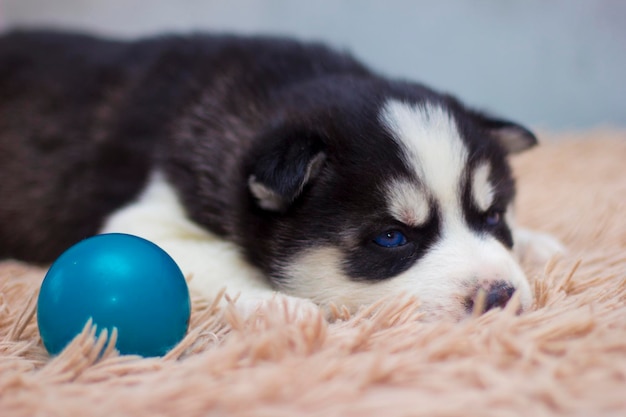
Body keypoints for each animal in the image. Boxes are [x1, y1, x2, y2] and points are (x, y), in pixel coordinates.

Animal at [0, 30, 560, 320]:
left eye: (493, 217)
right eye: (391, 237)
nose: (502, 296)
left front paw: (537, 243)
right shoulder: (145, 219)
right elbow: (217, 261)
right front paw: (286, 306)